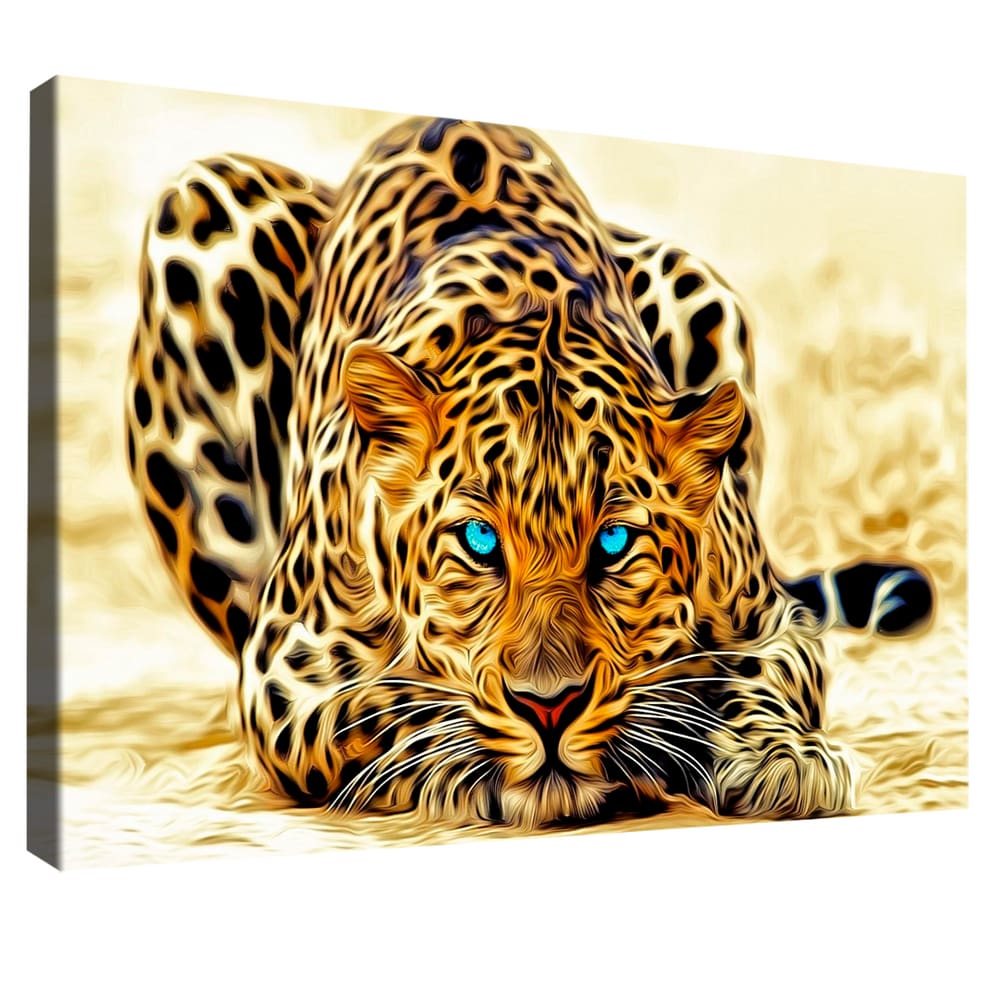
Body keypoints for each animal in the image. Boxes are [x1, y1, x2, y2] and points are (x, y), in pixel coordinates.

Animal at [125, 116, 933, 829]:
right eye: (479, 542)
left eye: (613, 544)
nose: (550, 706)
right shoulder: (286, 669)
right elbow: (386, 708)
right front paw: (465, 761)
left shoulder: (771, 620)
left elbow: (757, 679)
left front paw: (782, 758)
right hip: (199, 205)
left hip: (696, 282)